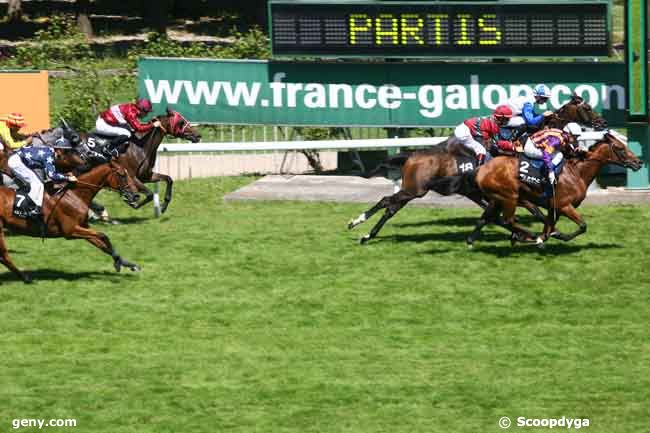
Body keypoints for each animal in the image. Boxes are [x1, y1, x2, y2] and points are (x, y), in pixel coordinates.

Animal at [0, 160, 142, 282]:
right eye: (122, 175)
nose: (136, 196)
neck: (74, 194)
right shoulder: (71, 231)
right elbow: (103, 235)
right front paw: (118, 263)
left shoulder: (82, 227)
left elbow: (102, 244)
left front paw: (129, 264)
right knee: (5, 256)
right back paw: (26, 278)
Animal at [346, 94, 604, 243]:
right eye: (588, 108)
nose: (601, 122)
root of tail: (412, 155)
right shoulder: (516, 192)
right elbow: (534, 212)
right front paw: (546, 233)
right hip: (415, 190)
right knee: (386, 201)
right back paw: (357, 222)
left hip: (412, 190)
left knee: (390, 207)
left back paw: (367, 234)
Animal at [422, 130, 640, 246]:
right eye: (620, 148)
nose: (638, 162)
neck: (576, 172)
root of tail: (480, 168)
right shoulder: (564, 205)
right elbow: (582, 226)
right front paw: (547, 238)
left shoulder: (553, 207)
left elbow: (549, 224)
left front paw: (547, 237)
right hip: (508, 197)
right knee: (507, 220)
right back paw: (525, 236)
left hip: (498, 199)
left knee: (487, 218)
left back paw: (475, 240)